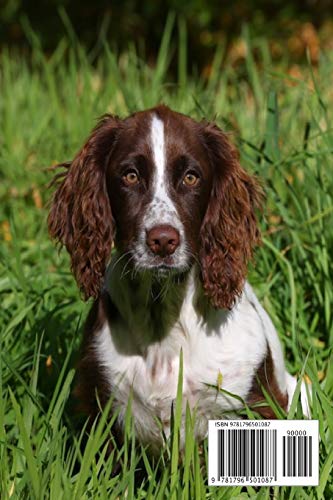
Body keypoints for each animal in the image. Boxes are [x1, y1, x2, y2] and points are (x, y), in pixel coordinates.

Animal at [48, 104, 308, 454]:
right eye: (130, 175)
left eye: (190, 177)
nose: (162, 241)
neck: (163, 317)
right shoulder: (101, 410)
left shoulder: (254, 404)